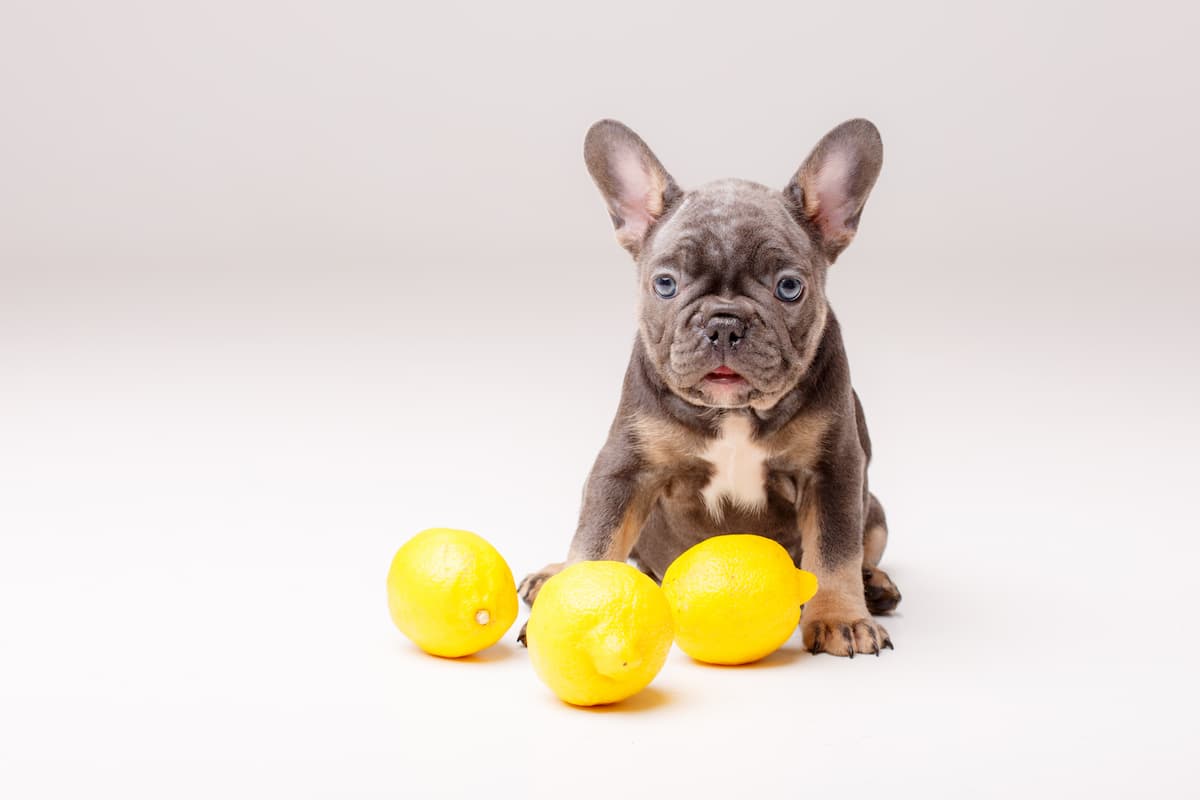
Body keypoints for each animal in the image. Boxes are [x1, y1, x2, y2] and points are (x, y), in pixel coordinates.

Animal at [518, 118, 902, 657]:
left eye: (789, 287)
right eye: (665, 284)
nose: (723, 324)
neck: (735, 413)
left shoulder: (834, 468)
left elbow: (834, 551)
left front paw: (841, 617)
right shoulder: (623, 469)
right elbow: (596, 539)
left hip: (877, 512)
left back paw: (874, 585)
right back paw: (550, 574)